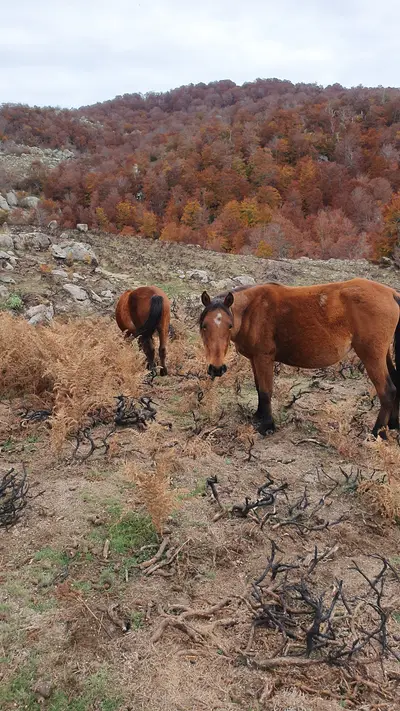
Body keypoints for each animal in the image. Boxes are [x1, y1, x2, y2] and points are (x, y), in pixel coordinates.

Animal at [199, 278, 400, 439]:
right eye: (204, 326)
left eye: (229, 325)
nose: (216, 368)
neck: (253, 309)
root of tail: (391, 293)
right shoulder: (254, 359)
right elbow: (258, 388)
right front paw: (257, 416)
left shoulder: (264, 358)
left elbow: (265, 391)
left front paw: (267, 426)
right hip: (382, 356)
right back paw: (392, 426)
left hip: (372, 357)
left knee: (387, 391)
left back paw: (377, 434)